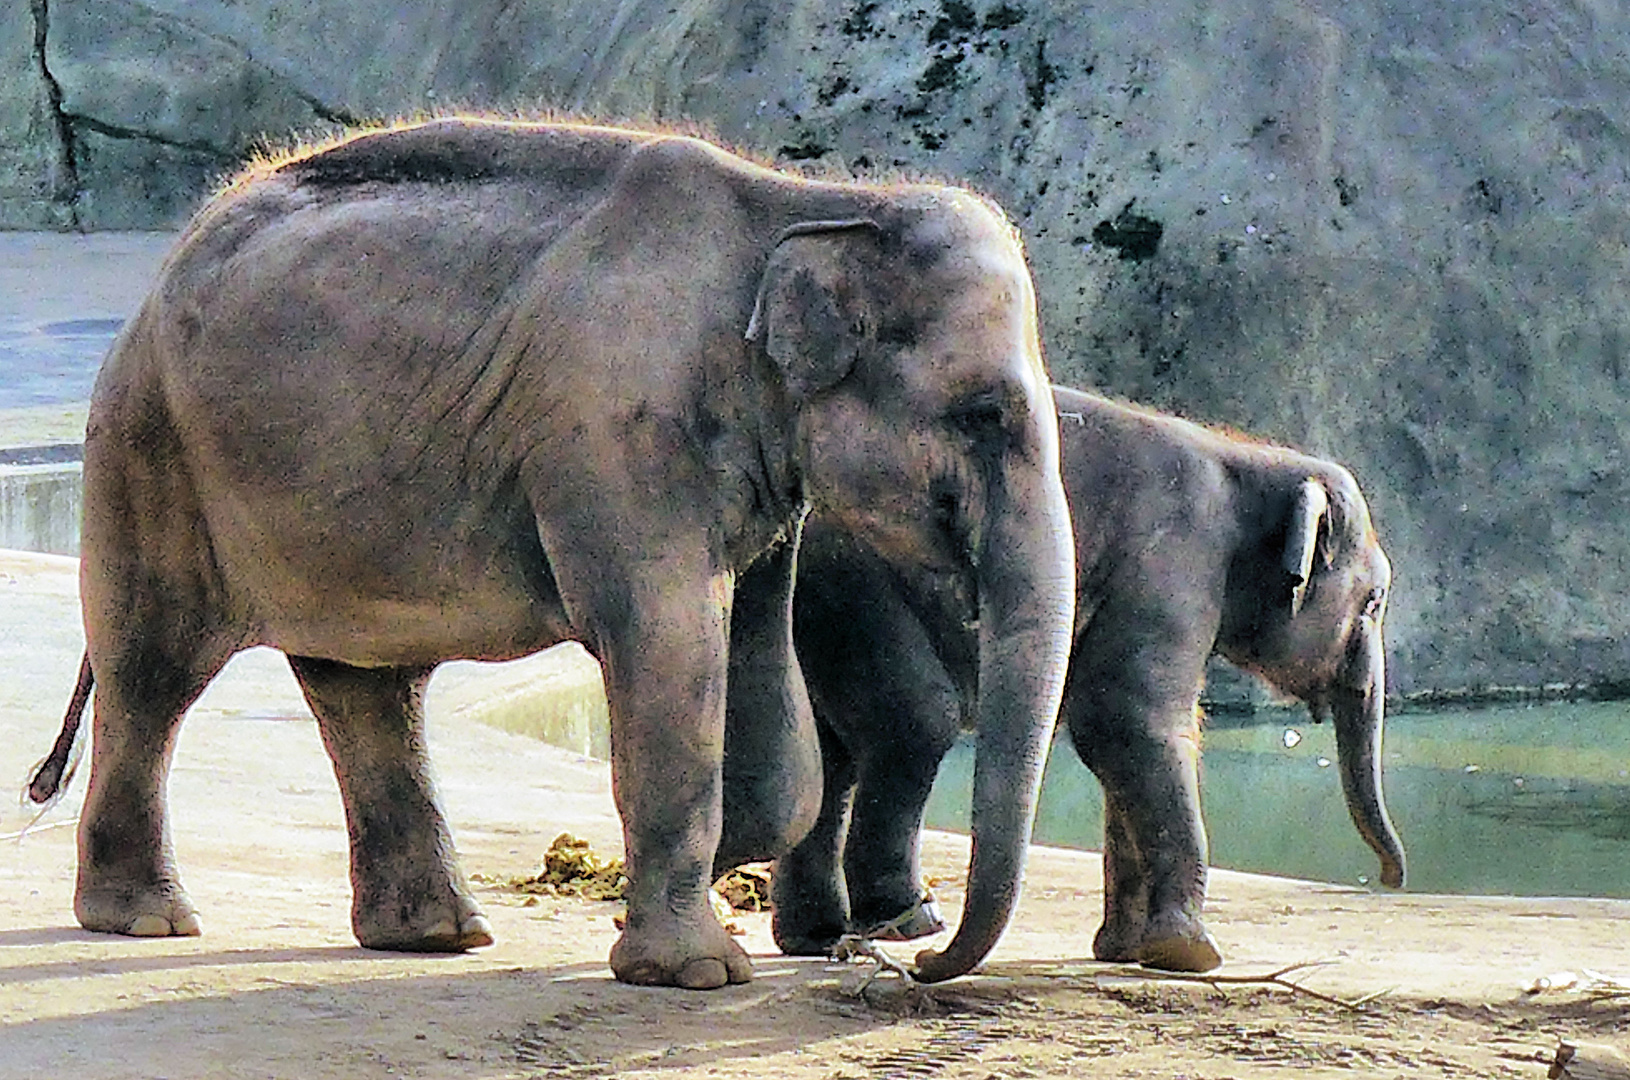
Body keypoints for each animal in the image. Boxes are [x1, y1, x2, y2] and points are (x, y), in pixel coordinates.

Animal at [25, 118, 1075, 990]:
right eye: (983, 416)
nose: (911, 957)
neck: (805, 205)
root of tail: (172, 258)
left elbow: (764, 694)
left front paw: (714, 871)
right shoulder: (614, 432)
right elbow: (664, 642)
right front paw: (696, 972)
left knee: (366, 687)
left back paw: (437, 936)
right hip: (149, 451)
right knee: (155, 673)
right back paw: (146, 921)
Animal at [726, 386, 1401, 970]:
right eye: (1373, 602)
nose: (1392, 878)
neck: (1248, 458)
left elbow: (1119, 734)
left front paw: (1124, 950)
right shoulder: (1173, 565)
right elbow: (1129, 721)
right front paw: (1188, 953)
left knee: (832, 752)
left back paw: (818, 937)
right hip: (858, 587)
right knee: (916, 723)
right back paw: (912, 922)